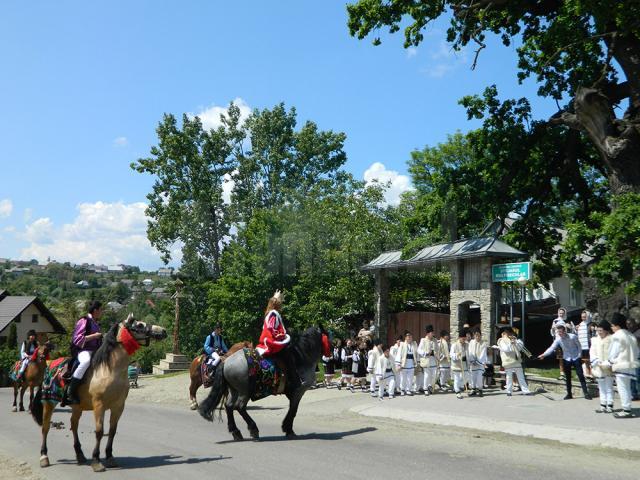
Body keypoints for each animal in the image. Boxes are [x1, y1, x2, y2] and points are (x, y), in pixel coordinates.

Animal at [31, 316, 166, 472]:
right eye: (139, 325)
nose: (163, 330)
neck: (109, 371)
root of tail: (50, 365)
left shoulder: (118, 406)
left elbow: (112, 431)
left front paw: (110, 457)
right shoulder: (99, 406)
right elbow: (100, 431)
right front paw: (96, 461)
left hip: (77, 407)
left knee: (74, 425)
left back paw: (80, 455)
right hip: (49, 403)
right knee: (45, 428)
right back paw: (44, 457)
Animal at [200, 326, 330, 438]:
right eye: (329, 336)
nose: (330, 354)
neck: (301, 358)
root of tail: (226, 361)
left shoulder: (293, 393)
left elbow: (292, 409)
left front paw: (287, 428)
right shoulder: (299, 391)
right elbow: (293, 410)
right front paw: (288, 429)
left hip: (234, 390)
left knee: (229, 406)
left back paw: (236, 431)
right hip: (244, 391)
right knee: (239, 407)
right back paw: (253, 429)